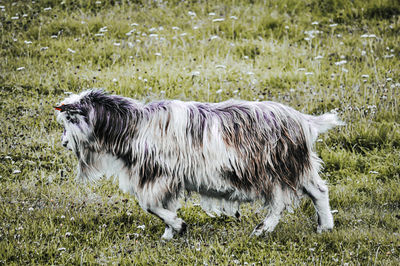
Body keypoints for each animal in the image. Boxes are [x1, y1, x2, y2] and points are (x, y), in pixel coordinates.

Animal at [55, 90, 344, 239]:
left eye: (72, 118)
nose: (64, 143)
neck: (136, 126)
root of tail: (304, 121)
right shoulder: (166, 180)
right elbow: (161, 206)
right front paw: (170, 234)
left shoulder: (160, 175)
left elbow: (150, 206)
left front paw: (178, 226)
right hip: (297, 168)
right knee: (319, 191)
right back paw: (325, 227)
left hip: (273, 171)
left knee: (280, 203)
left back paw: (261, 230)